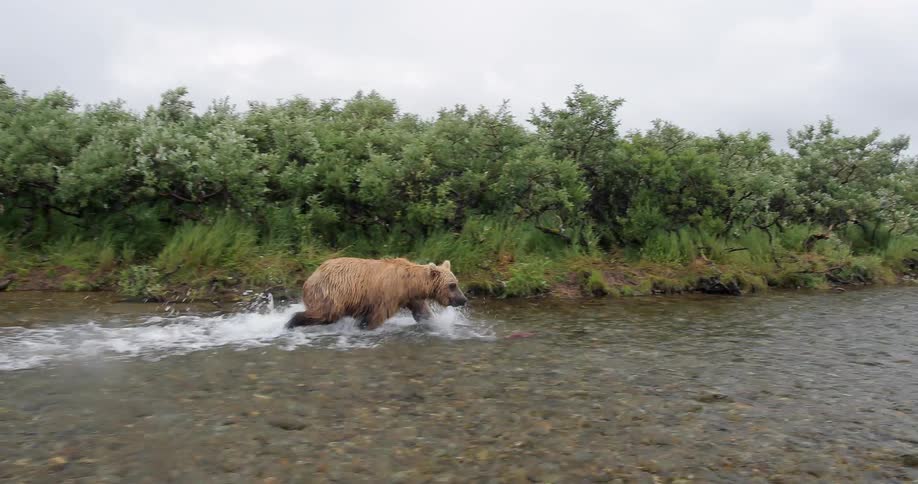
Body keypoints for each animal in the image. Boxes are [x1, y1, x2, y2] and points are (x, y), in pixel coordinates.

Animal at [284, 257, 468, 330]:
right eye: (452, 285)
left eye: (456, 283)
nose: (463, 299)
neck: (410, 284)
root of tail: (310, 278)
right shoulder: (388, 296)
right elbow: (376, 316)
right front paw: (364, 327)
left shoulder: (411, 297)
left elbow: (422, 313)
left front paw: (434, 323)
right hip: (331, 293)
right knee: (325, 313)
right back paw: (291, 322)